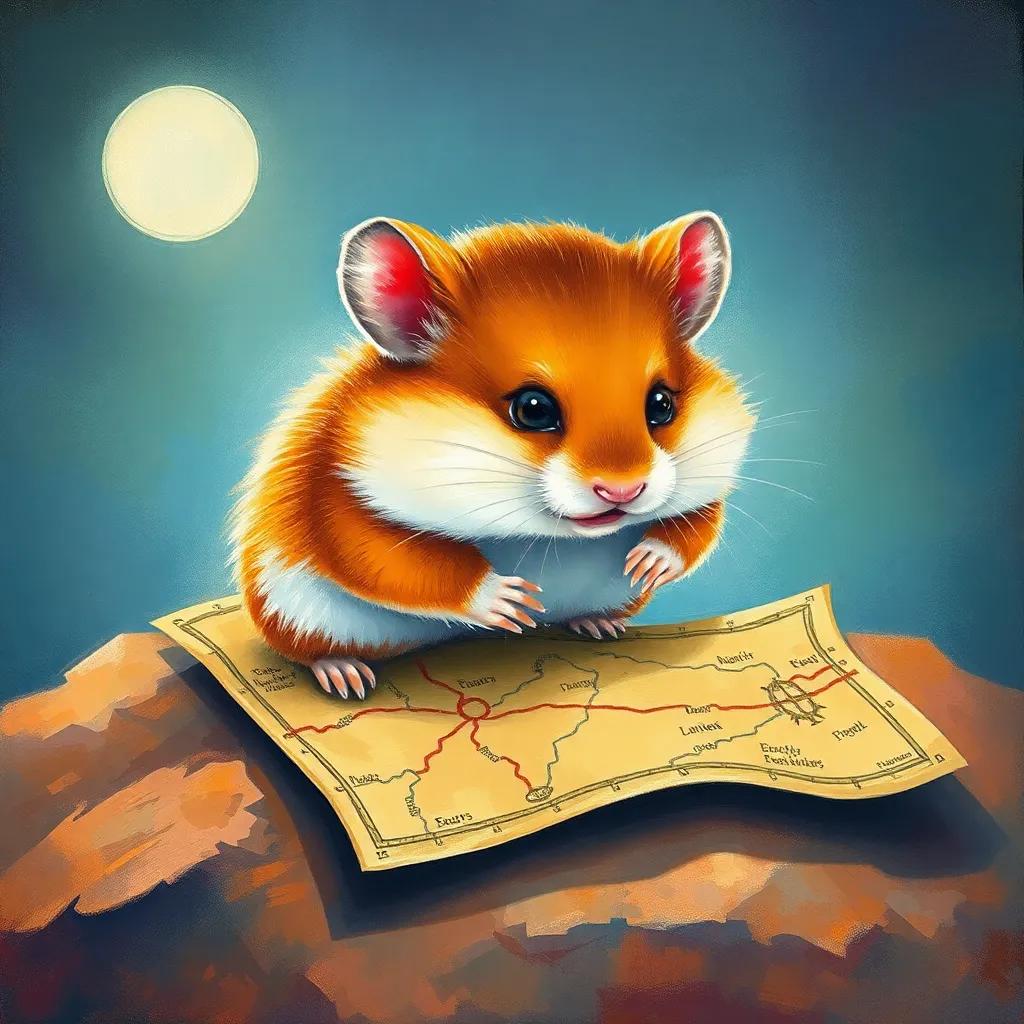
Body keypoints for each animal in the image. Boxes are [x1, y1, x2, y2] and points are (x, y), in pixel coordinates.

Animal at [230, 212, 755, 699]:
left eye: (661, 404)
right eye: (533, 408)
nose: (623, 490)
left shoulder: (707, 487)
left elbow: (698, 523)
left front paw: (646, 563)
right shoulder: (336, 496)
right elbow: (398, 557)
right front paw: (515, 603)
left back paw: (599, 624)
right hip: (294, 613)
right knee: (312, 651)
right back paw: (346, 677)